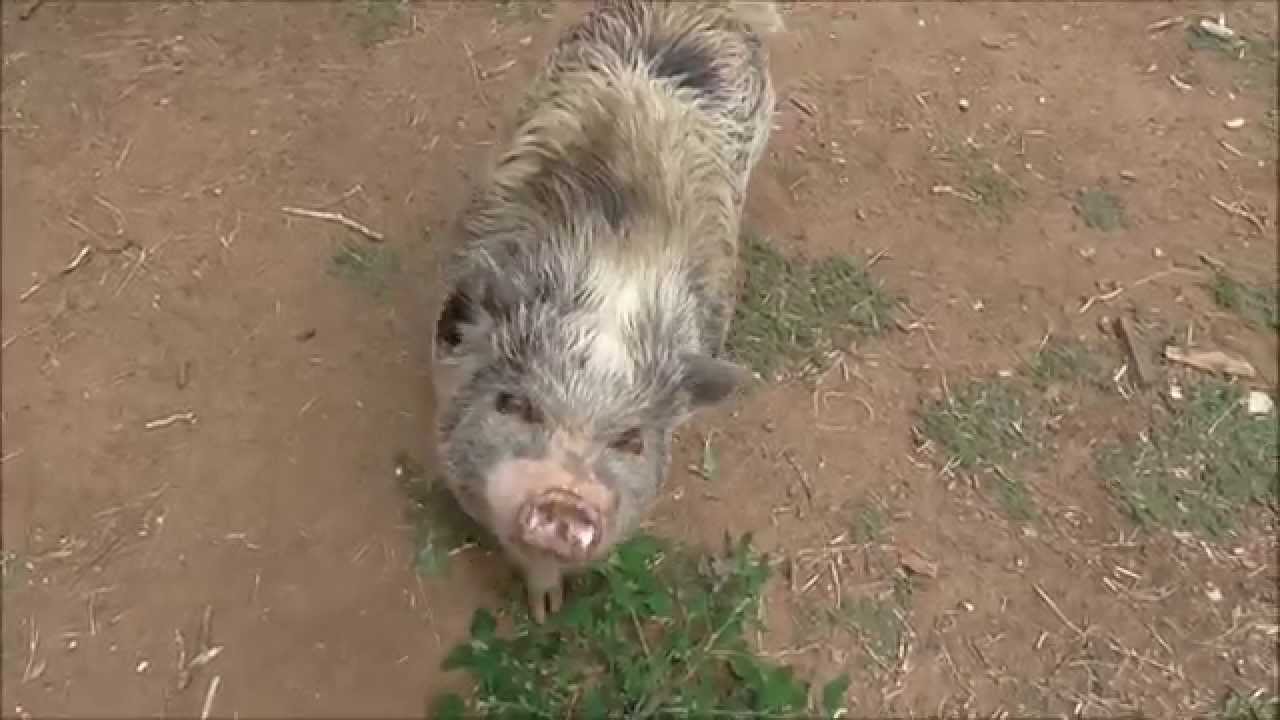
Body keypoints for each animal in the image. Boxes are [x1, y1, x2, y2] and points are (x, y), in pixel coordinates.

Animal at [429, 0, 783, 623]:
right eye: (514, 404)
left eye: (631, 440)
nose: (565, 500)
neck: (611, 287)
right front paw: (544, 609)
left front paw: (547, 608)